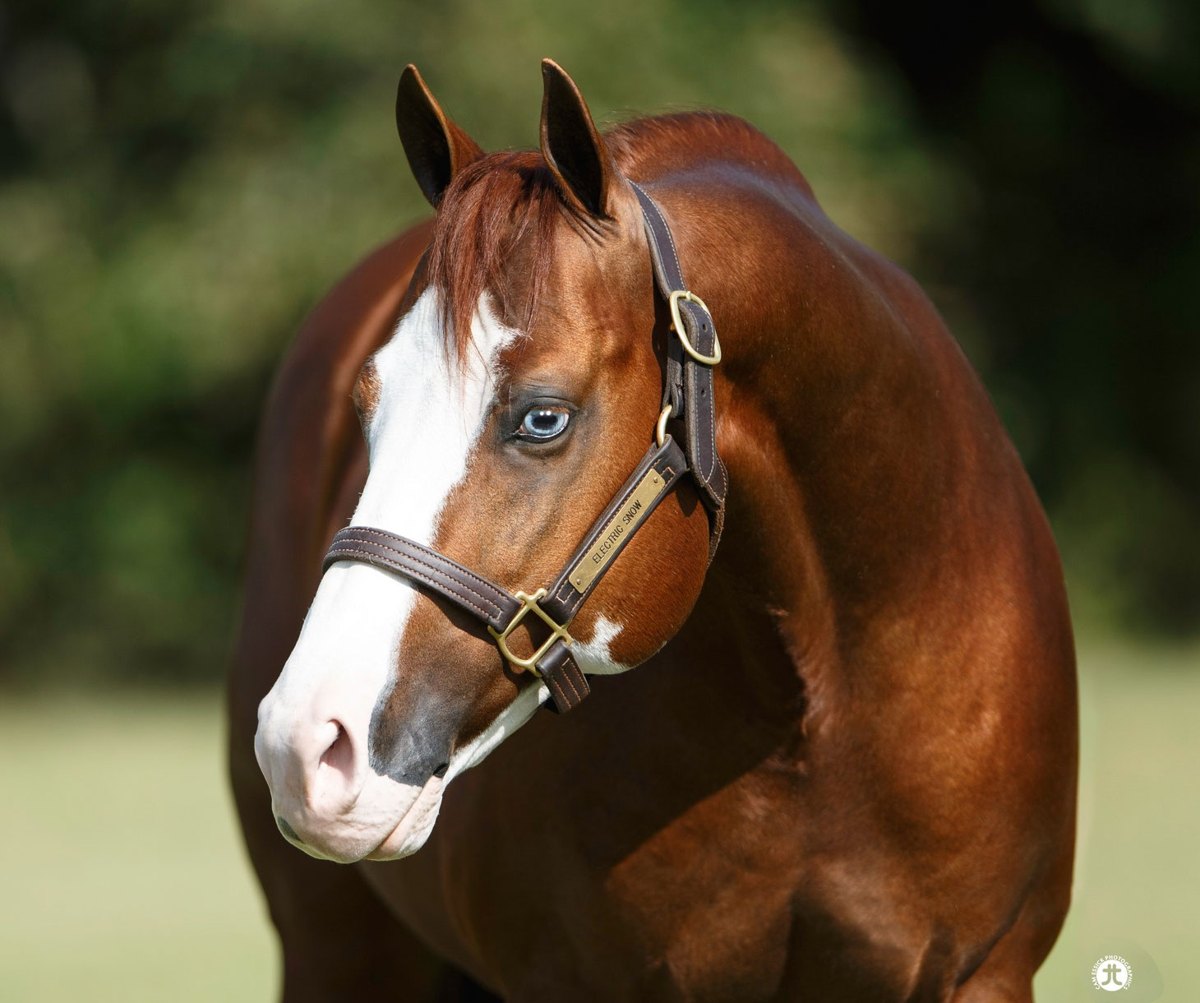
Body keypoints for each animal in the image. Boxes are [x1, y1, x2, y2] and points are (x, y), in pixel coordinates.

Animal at [228, 60, 1077, 1002]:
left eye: (544, 417)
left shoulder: (985, 971)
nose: (305, 743)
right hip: (336, 947)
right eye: (367, 406)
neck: (819, 704)